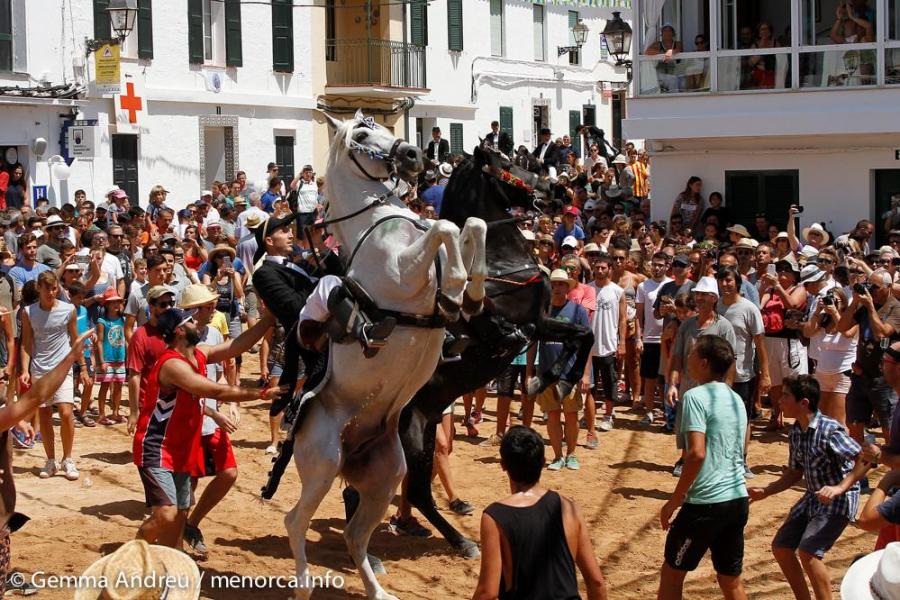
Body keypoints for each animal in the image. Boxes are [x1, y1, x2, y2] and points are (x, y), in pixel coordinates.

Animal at [284, 110, 488, 596]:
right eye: (361, 133)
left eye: (381, 127)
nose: (413, 154)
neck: (381, 222)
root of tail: (350, 448)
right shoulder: (404, 273)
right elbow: (445, 228)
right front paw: (454, 290)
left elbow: (471, 225)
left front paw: (471, 293)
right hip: (322, 466)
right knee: (295, 521)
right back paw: (303, 584)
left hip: (385, 475)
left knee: (357, 533)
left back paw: (376, 588)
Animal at [344, 144, 592, 556]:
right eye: (508, 164)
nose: (556, 190)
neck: (501, 262)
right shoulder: (521, 325)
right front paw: (549, 381)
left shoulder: (540, 322)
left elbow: (583, 335)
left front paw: (554, 381)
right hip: (410, 434)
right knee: (408, 491)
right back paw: (455, 541)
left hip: (424, 427)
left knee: (395, 491)